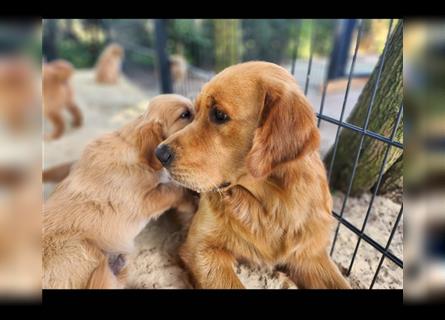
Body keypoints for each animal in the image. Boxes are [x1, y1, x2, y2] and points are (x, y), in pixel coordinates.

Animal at [43, 94, 196, 288]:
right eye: (184, 115)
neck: (134, 148)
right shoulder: (144, 200)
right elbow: (175, 190)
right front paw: (191, 201)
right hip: (81, 247)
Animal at [156, 61, 350, 288]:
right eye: (195, 112)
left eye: (219, 115)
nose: (160, 153)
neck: (267, 204)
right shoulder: (200, 248)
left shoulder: (310, 255)